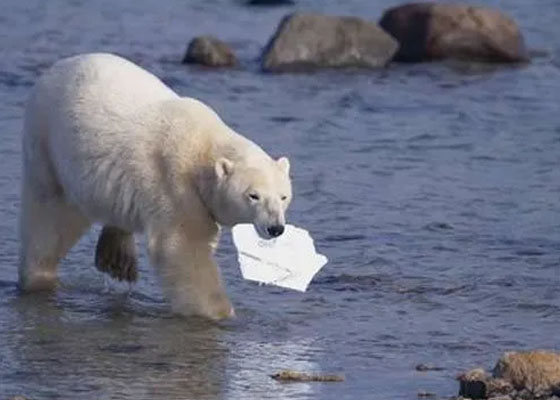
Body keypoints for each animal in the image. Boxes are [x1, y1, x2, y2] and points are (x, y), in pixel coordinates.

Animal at [19, 53, 294, 320]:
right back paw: (40, 278)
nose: (276, 228)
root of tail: (52, 69)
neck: (203, 147)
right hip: (48, 146)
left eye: (283, 197)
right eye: (253, 196)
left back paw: (118, 261)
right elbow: (182, 247)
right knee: (50, 219)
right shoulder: (175, 183)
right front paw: (221, 313)